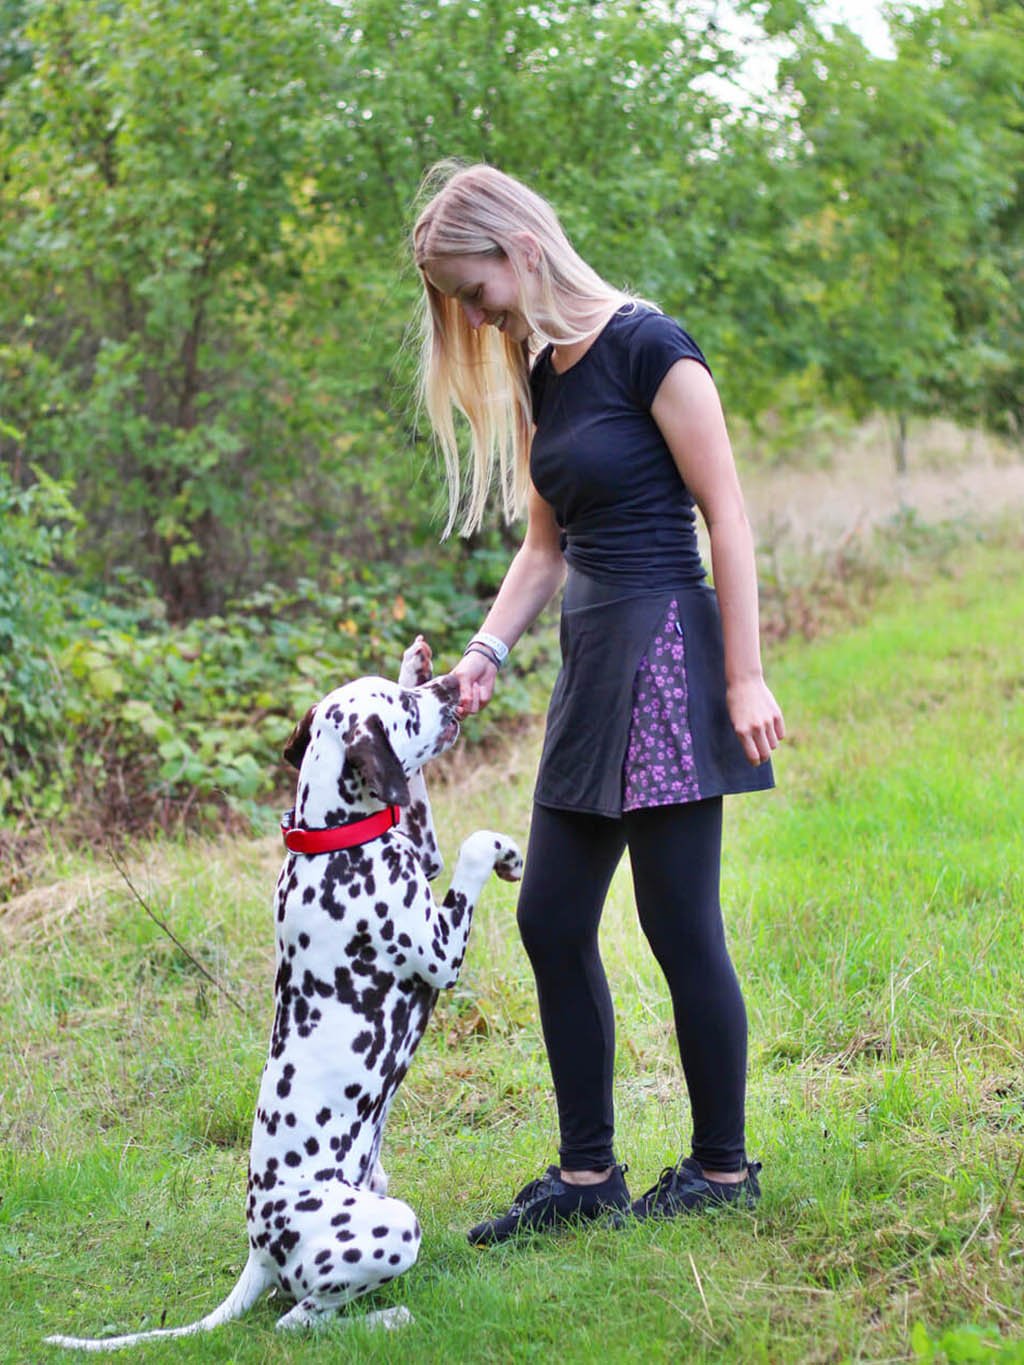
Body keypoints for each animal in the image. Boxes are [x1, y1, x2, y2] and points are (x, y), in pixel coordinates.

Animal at [47, 636, 521, 1343]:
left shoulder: (420, 848)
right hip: (392, 1225)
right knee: (298, 1323)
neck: (331, 842)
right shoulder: (440, 949)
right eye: (408, 709)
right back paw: (390, 1318)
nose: (446, 690)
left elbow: (422, 809)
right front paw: (497, 848)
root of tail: (259, 1252)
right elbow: (469, 849)